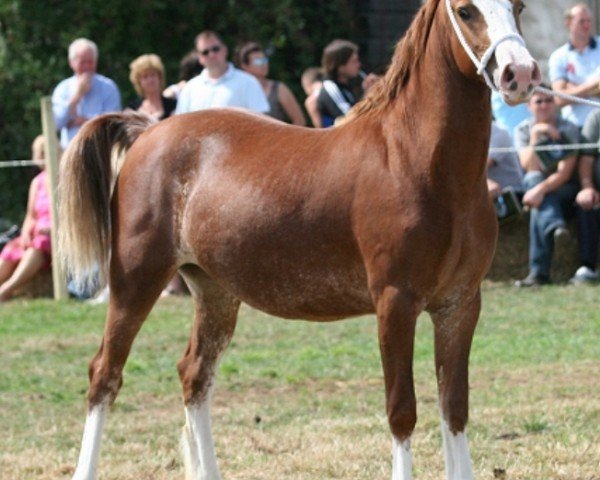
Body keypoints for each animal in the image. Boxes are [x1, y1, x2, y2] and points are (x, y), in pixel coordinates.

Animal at [61, 1, 540, 478]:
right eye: (465, 11)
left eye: (518, 7)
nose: (520, 73)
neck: (415, 162)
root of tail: (147, 131)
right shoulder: (395, 303)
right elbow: (402, 411)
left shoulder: (459, 305)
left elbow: (454, 408)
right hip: (136, 281)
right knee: (105, 375)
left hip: (214, 292)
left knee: (194, 376)